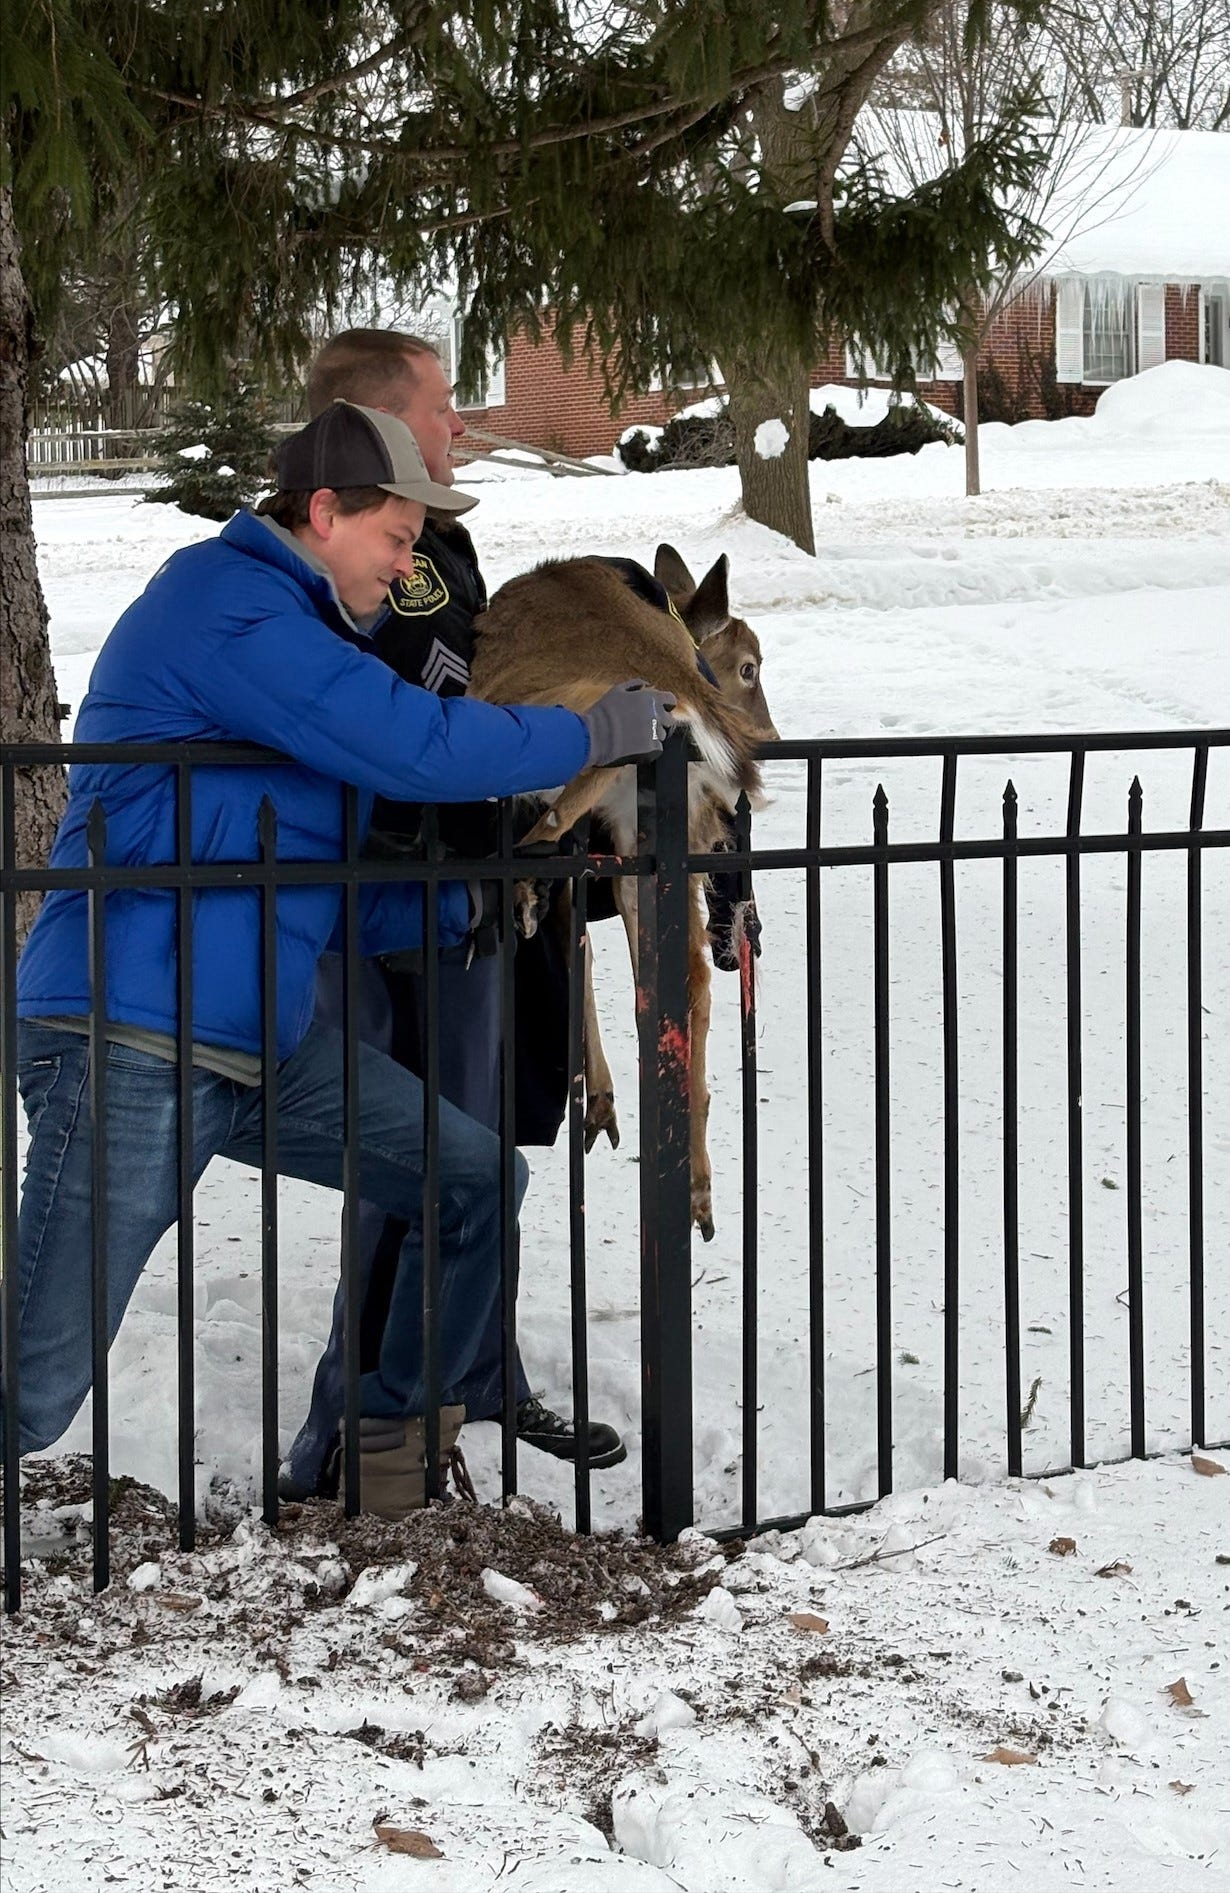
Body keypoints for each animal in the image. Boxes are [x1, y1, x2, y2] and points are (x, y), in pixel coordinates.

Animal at [467, 543, 778, 1241]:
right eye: (748, 666)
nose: (770, 742)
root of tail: (677, 689)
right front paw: (604, 1106)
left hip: (551, 716)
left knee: (570, 780)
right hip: (650, 833)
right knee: (685, 979)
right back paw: (698, 1192)